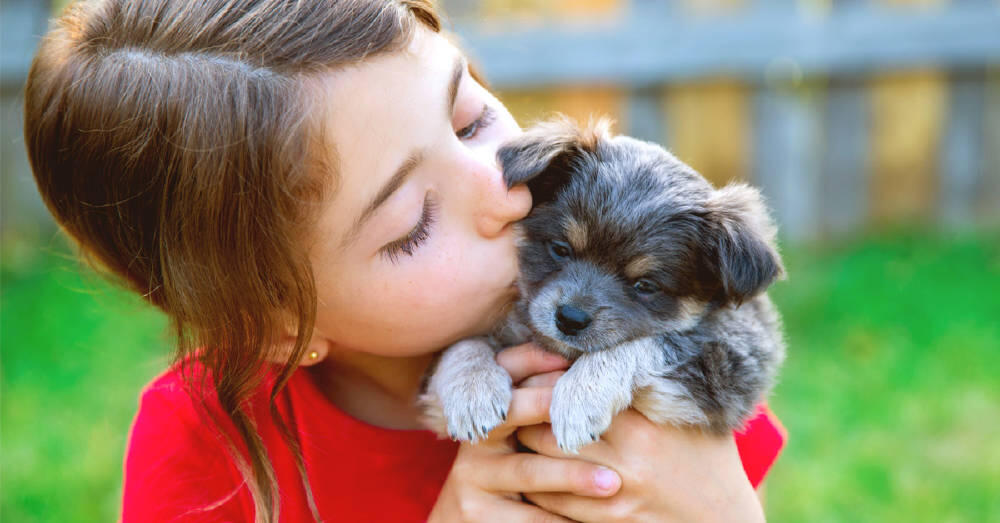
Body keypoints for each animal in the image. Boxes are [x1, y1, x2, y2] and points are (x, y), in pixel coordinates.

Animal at [418, 116, 784, 452]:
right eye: (560, 249)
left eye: (645, 285)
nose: (570, 319)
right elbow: (461, 344)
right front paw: (472, 391)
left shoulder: (732, 362)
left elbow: (643, 343)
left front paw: (580, 398)